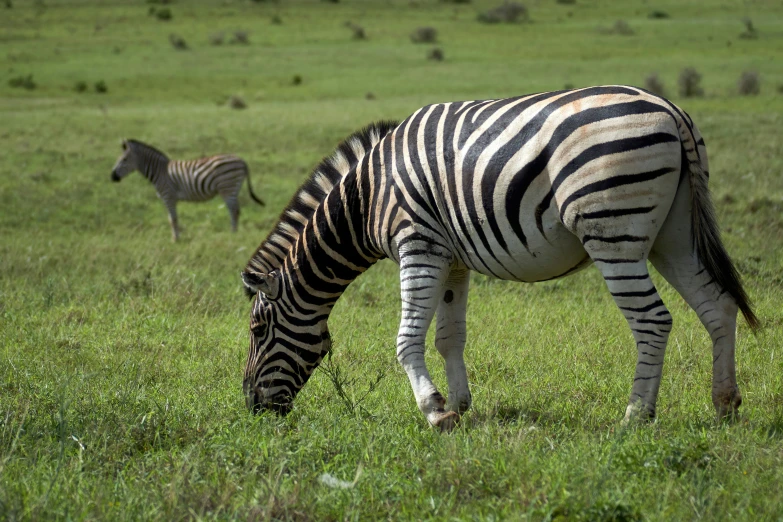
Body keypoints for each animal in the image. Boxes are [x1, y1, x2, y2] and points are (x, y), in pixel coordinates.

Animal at [110, 140, 264, 242]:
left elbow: (172, 219)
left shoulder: (168, 197)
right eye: (119, 159)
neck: (159, 171)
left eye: (124, 160)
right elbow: (173, 219)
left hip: (227, 188)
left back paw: (232, 234)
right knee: (237, 210)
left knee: (234, 211)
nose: (112, 177)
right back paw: (235, 233)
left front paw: (175, 239)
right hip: (233, 189)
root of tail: (242, 160)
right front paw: (176, 238)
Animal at [240, 85, 760, 428]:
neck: (367, 197)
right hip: (674, 233)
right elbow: (449, 336)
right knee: (718, 306)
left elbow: (407, 338)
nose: (252, 407)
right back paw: (724, 404)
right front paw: (459, 404)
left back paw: (635, 415)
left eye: (257, 329)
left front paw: (434, 412)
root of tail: (672, 110)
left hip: (613, 232)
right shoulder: (452, 260)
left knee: (653, 320)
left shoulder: (418, 246)